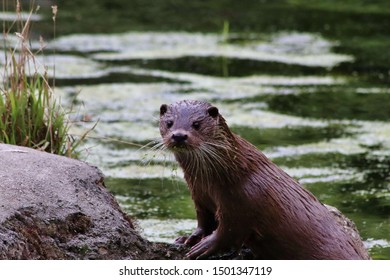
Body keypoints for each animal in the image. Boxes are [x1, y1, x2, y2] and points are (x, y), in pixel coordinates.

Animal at [158, 99, 368, 260]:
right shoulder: (199, 195)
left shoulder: (241, 202)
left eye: (196, 124)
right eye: (169, 123)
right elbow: (204, 221)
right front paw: (187, 238)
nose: (179, 135)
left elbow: (228, 232)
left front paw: (205, 246)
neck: (228, 174)